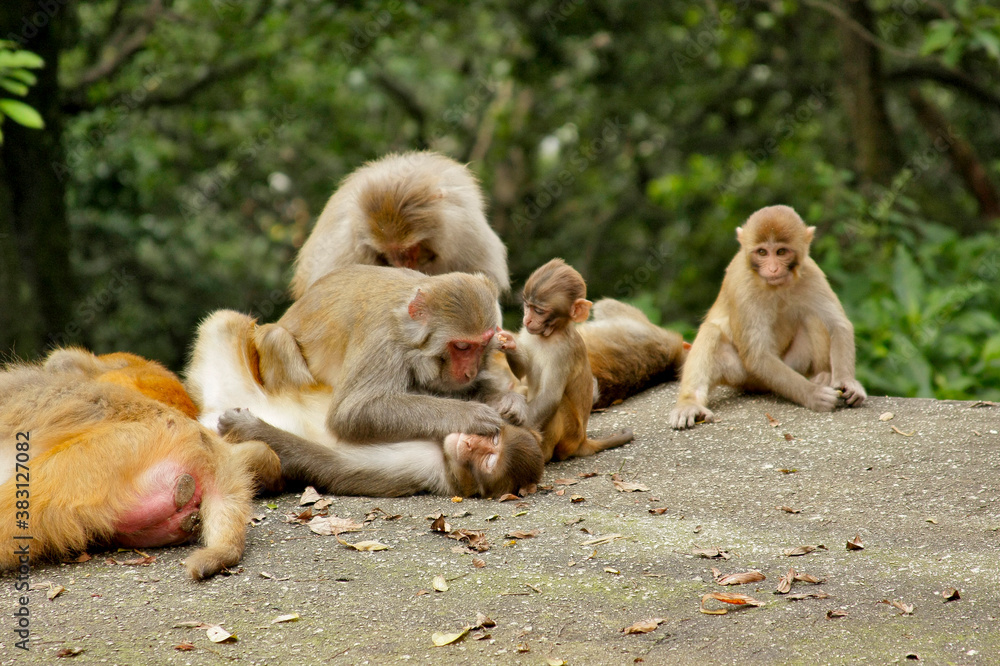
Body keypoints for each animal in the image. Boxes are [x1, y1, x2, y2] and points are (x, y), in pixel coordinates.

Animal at [185, 310, 544, 497]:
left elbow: (333, 465)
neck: (442, 446)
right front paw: (502, 404)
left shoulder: (427, 470)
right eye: (491, 439)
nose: (469, 443)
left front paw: (248, 426)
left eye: (489, 460)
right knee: (224, 322)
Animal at [275, 265, 527, 444]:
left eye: (483, 345)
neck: (407, 329)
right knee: (279, 340)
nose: (470, 372)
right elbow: (354, 410)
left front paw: (506, 400)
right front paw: (469, 415)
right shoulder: (382, 340)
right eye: (462, 346)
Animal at [498, 259, 634, 461]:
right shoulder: (528, 333)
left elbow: (551, 396)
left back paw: (544, 453)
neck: (550, 334)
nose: (527, 320)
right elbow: (522, 371)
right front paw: (509, 342)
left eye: (539, 311)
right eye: (527, 305)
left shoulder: (563, 352)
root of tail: (582, 440)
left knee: (559, 403)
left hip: (570, 435)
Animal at [669, 205, 867, 429]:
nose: (773, 269)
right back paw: (689, 404)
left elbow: (838, 325)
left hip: (793, 362)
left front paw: (848, 383)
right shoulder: (743, 286)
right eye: (762, 252)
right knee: (711, 331)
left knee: (812, 317)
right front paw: (814, 395)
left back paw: (822, 374)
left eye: (781, 252)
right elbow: (758, 355)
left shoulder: (811, 272)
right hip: (742, 374)